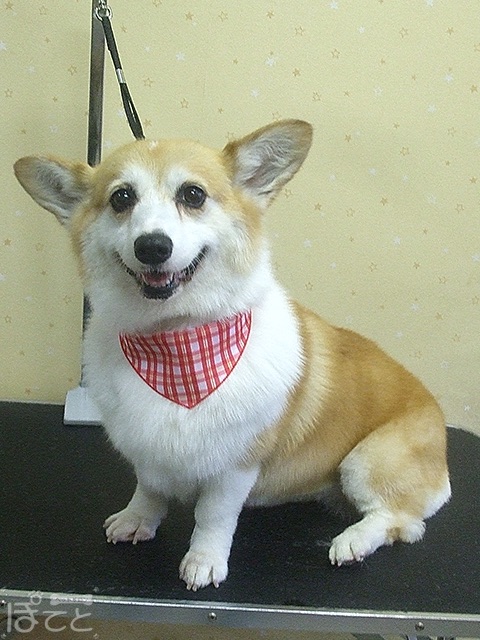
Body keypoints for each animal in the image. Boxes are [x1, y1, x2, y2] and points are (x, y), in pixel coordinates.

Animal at [14, 120, 450, 590]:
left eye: (193, 195)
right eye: (121, 198)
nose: (152, 247)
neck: (177, 345)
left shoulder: (234, 468)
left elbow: (213, 517)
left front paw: (204, 562)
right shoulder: (147, 452)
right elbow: (149, 490)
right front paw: (138, 520)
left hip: (364, 462)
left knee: (402, 521)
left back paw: (353, 542)